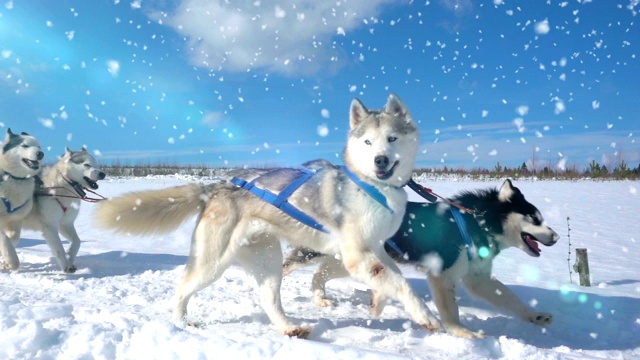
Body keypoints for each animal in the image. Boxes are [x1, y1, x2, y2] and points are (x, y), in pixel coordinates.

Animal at [0, 129, 43, 270]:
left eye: (39, 147)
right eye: (24, 145)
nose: (40, 154)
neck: (13, 178)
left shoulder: (15, 220)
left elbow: (13, 239)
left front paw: (6, 262)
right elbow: (5, 239)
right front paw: (12, 260)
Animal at [96, 93, 444, 338]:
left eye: (392, 138)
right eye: (367, 141)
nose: (380, 160)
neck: (372, 186)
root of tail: (215, 186)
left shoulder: (377, 250)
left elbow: (391, 279)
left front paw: (379, 304)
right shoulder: (358, 255)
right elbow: (401, 284)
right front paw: (427, 316)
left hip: (267, 260)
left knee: (268, 300)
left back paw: (289, 328)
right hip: (213, 262)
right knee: (182, 288)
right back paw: (181, 323)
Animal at [284, 181, 560, 338]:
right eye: (534, 218)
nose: (556, 237)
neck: (476, 221)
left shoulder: (478, 278)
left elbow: (510, 299)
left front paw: (534, 316)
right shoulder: (442, 274)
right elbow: (450, 312)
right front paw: (462, 332)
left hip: (347, 260)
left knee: (320, 273)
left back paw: (321, 299)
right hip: (314, 253)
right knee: (289, 266)